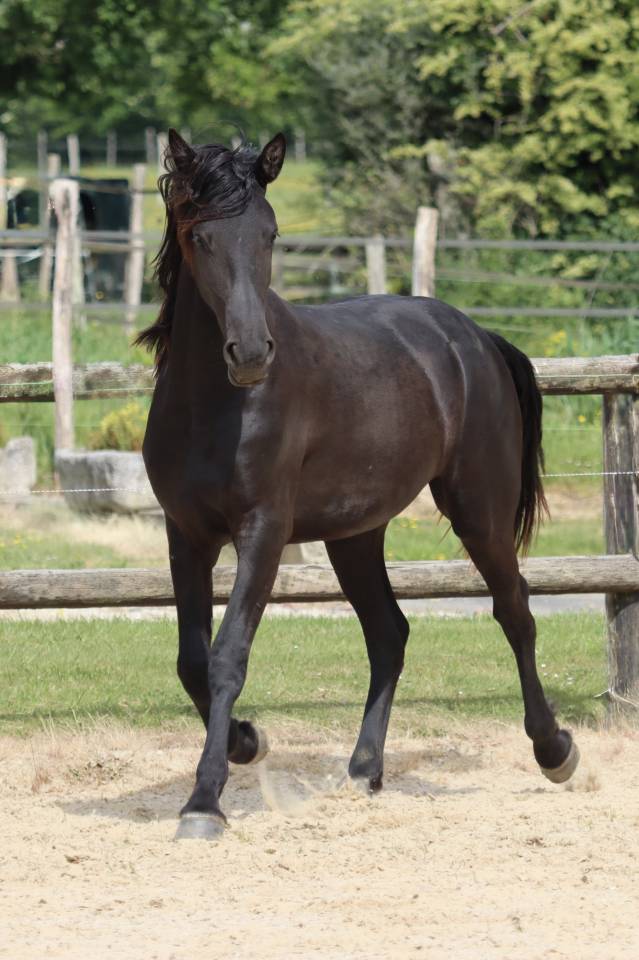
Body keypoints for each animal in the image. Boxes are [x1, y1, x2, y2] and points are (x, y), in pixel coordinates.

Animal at [137, 129, 579, 840]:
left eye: (270, 233)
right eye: (200, 235)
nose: (251, 354)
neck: (216, 407)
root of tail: (475, 337)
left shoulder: (263, 532)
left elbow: (228, 654)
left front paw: (205, 801)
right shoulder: (187, 536)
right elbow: (192, 660)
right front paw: (246, 741)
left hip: (478, 509)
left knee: (514, 609)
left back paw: (555, 750)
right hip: (355, 534)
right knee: (389, 633)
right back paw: (364, 768)